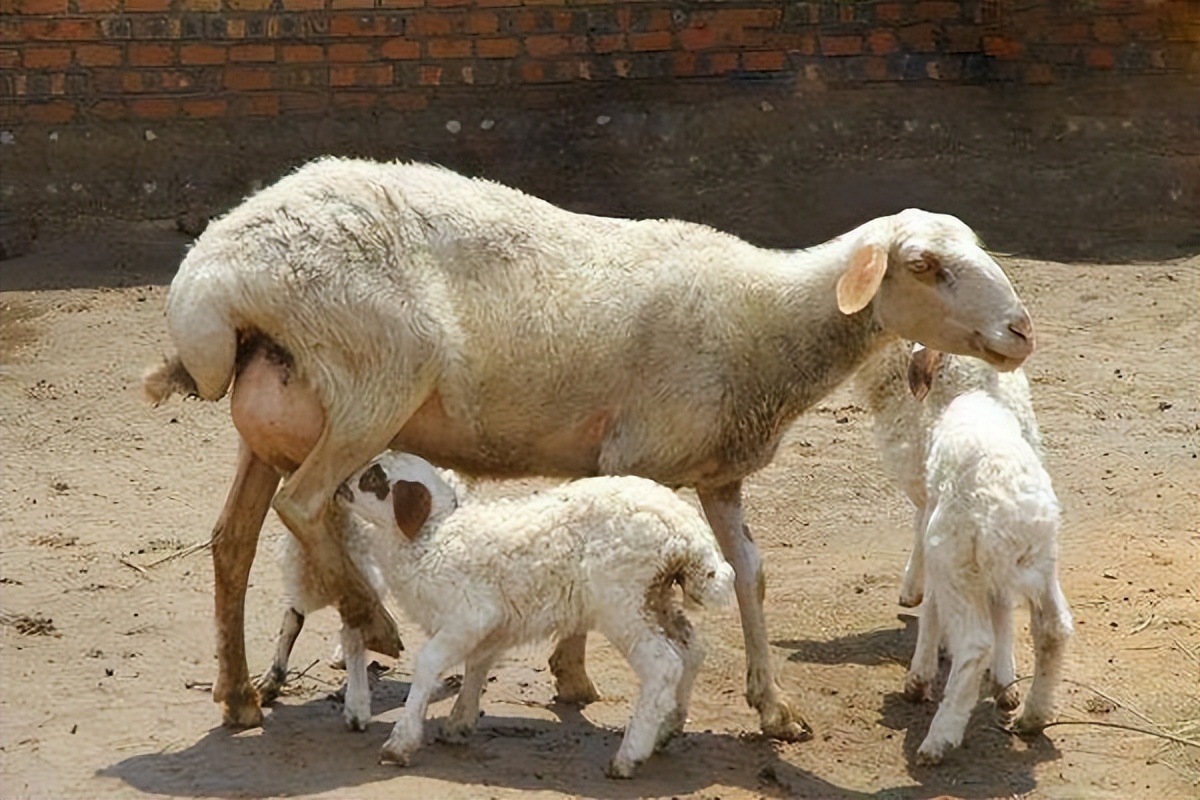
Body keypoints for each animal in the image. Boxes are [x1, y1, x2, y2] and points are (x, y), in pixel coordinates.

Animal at [145, 159, 1036, 743]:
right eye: (925, 265)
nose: (1022, 330)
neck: (764, 321)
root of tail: (212, 277)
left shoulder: (717, 471)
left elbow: (750, 575)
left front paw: (773, 708)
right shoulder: (635, 456)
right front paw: (573, 674)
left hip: (275, 418)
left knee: (233, 540)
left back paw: (237, 695)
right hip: (373, 379)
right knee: (303, 504)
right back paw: (372, 621)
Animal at [297, 453, 729, 777]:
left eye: (374, 478)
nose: (339, 485)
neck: (432, 536)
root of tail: (687, 535)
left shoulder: (469, 615)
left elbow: (428, 665)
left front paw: (401, 743)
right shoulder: (490, 624)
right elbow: (477, 665)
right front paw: (459, 723)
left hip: (622, 600)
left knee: (662, 664)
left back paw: (629, 756)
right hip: (655, 597)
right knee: (692, 650)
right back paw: (667, 730)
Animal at [859, 347, 1075, 767]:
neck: (967, 393)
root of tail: (1012, 514)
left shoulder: (934, 524)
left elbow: (931, 604)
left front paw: (920, 675)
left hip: (956, 558)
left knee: (975, 642)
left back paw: (940, 736)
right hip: (1042, 564)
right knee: (1053, 628)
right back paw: (1033, 716)